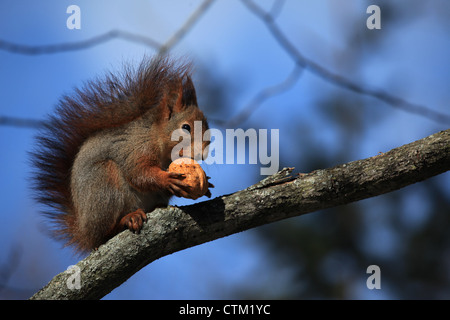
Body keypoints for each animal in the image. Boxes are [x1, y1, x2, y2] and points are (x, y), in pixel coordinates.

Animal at [31, 57, 213, 252]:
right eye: (186, 127)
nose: (203, 153)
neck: (155, 136)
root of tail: (84, 232)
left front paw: (206, 184)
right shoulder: (135, 148)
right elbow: (138, 173)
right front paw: (166, 179)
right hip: (104, 185)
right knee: (104, 234)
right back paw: (127, 219)